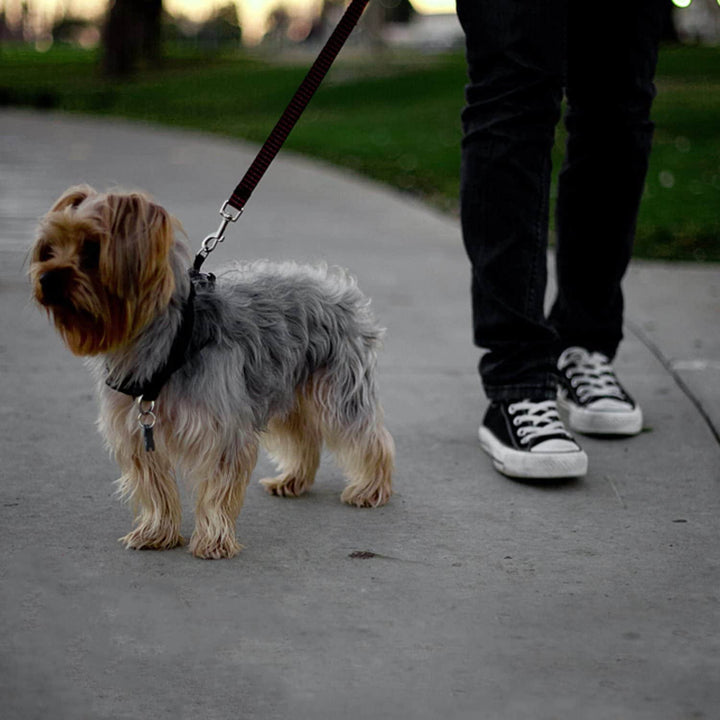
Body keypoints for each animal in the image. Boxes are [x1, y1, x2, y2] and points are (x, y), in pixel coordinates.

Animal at [31, 186, 394, 556]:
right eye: (49, 249)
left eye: (92, 249)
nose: (45, 277)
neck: (170, 341)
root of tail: (334, 283)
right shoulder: (138, 432)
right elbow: (154, 486)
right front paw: (156, 532)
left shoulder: (222, 430)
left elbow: (218, 488)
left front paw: (214, 540)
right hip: (282, 387)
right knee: (303, 435)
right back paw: (293, 479)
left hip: (338, 389)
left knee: (367, 435)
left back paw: (371, 488)